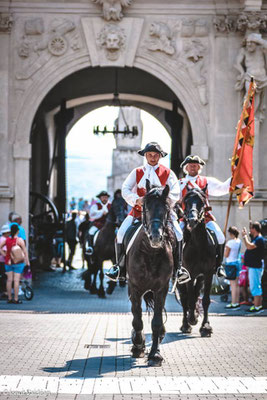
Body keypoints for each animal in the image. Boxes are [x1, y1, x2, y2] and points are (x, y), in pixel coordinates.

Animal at [127, 180, 176, 366]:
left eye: (166, 209)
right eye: (146, 207)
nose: (156, 237)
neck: (151, 253)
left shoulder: (161, 289)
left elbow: (156, 322)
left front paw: (155, 353)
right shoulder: (134, 288)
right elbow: (137, 318)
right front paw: (138, 345)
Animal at [179, 188, 217, 338]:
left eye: (202, 201)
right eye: (186, 201)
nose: (192, 220)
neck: (199, 246)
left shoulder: (208, 274)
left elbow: (205, 300)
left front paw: (206, 327)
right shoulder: (188, 274)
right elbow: (188, 298)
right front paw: (191, 319)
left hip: (200, 277)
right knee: (185, 298)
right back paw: (186, 324)